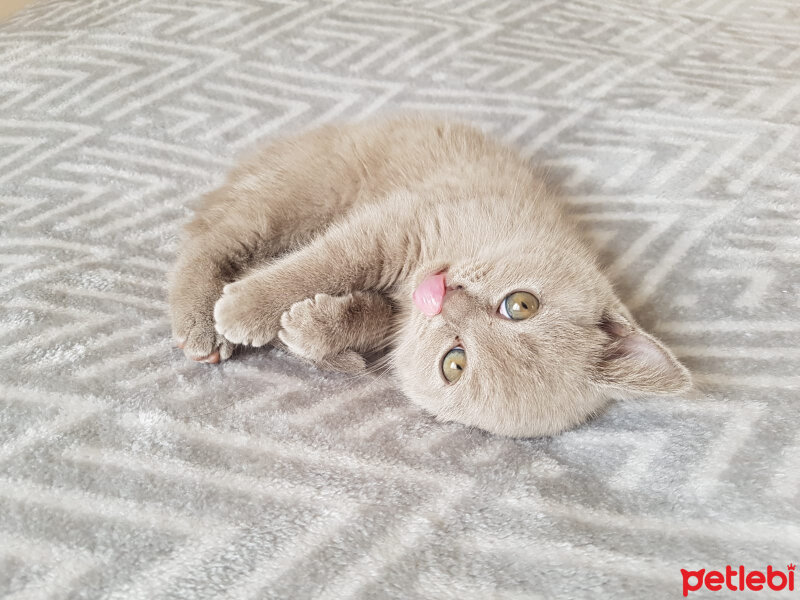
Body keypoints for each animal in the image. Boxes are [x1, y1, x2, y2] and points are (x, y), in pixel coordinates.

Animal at [170, 116, 692, 436]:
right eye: (521, 304)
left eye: (454, 363)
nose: (446, 297)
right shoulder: (396, 226)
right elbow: (324, 264)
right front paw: (247, 308)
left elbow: (367, 319)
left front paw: (312, 327)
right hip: (303, 195)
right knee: (212, 242)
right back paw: (202, 326)